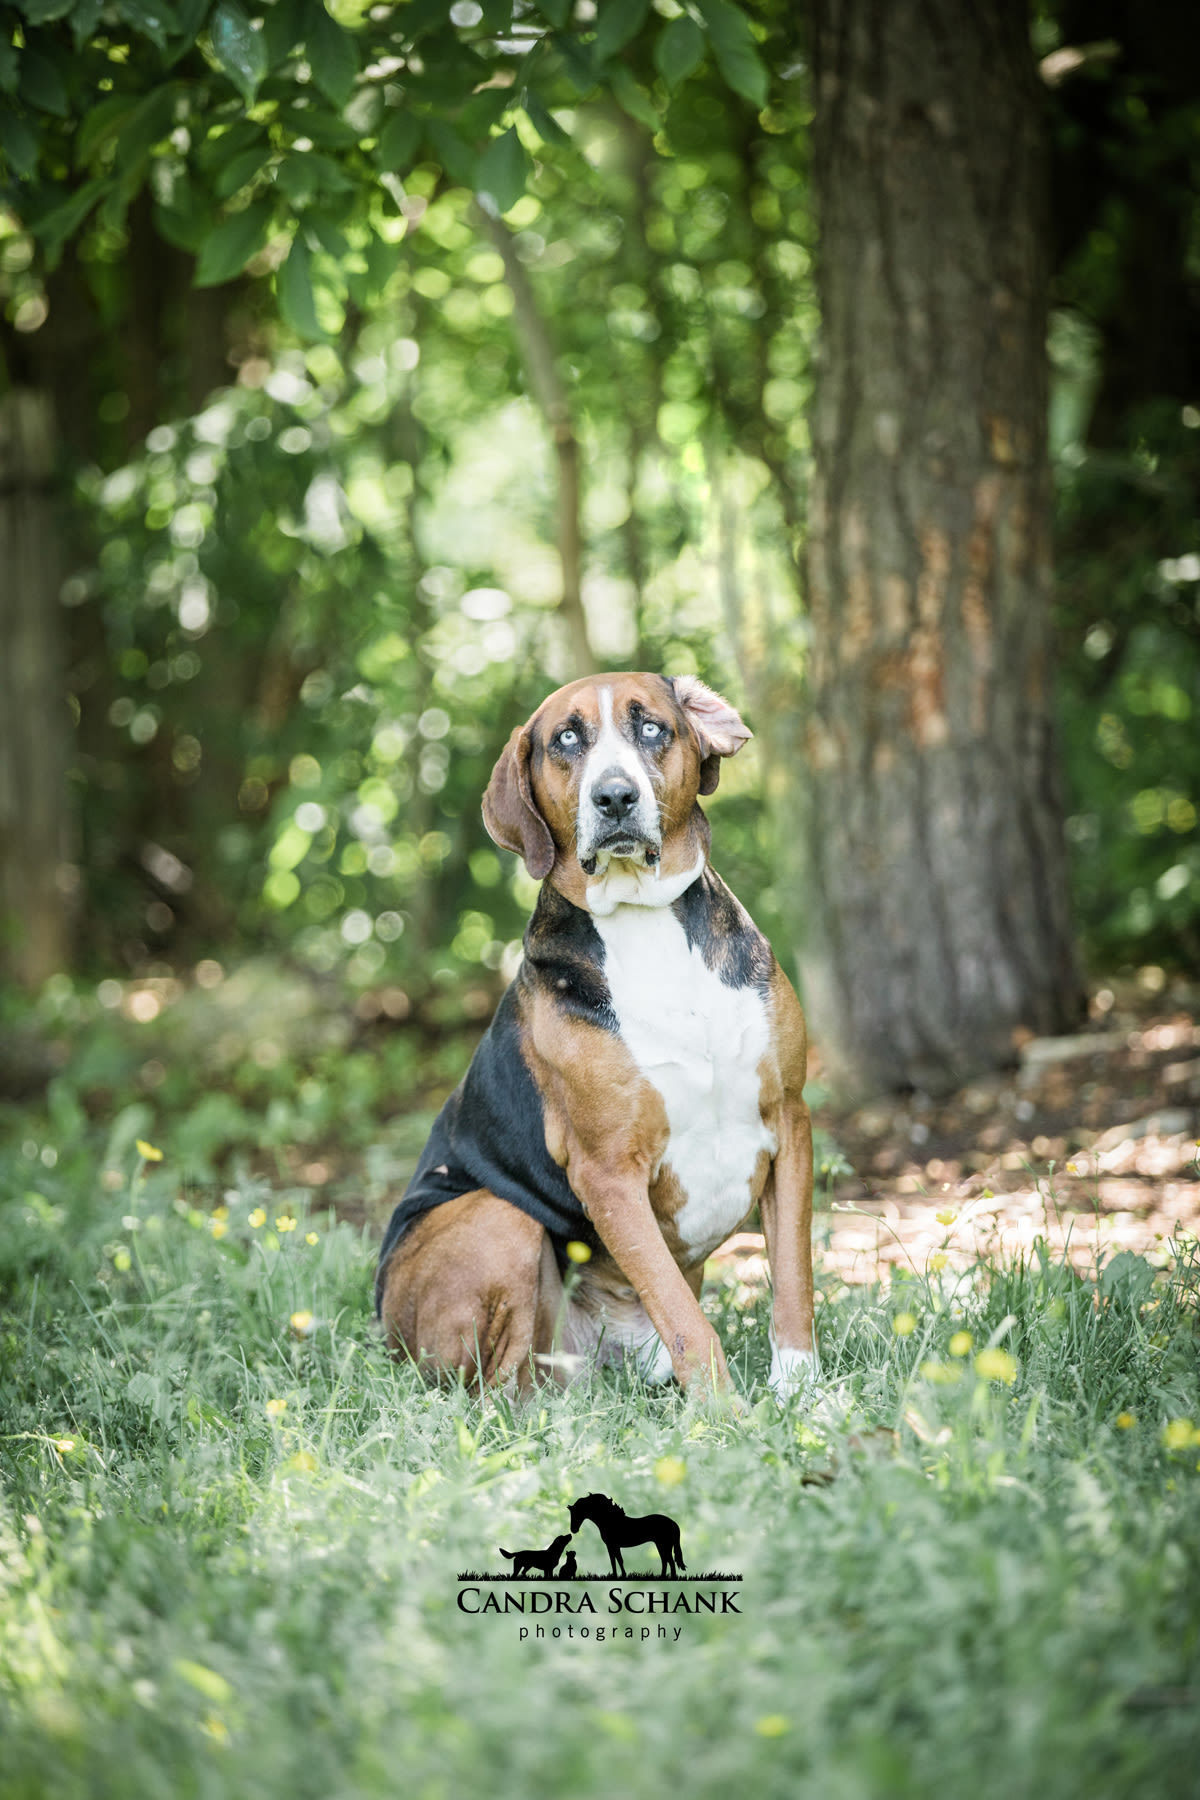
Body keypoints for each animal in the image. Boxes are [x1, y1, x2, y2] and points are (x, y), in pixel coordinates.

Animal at [377, 669, 816, 1396]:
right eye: (566, 740)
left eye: (651, 727)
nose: (614, 797)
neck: (646, 921)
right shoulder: (609, 1172)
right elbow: (687, 1318)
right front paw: (725, 1413)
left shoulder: (788, 1120)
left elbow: (793, 1280)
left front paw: (803, 1394)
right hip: (500, 1219)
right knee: (504, 1388)